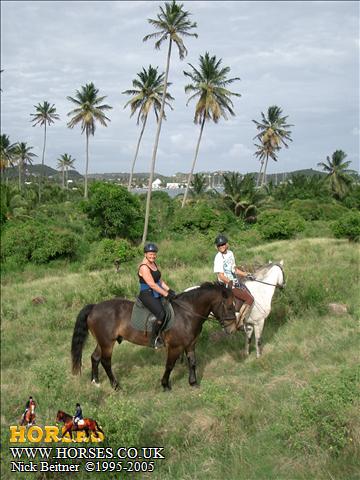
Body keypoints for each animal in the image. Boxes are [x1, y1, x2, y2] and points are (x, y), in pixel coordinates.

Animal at [71, 282, 238, 390]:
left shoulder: (191, 344)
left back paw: (95, 381)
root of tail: (94, 307)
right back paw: (116, 385)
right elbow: (169, 365)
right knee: (106, 362)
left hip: (102, 342)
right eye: (230, 306)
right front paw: (165, 384)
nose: (232, 329)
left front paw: (193, 383)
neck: (187, 312)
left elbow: (192, 362)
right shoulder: (175, 347)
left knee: (95, 357)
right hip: (107, 343)